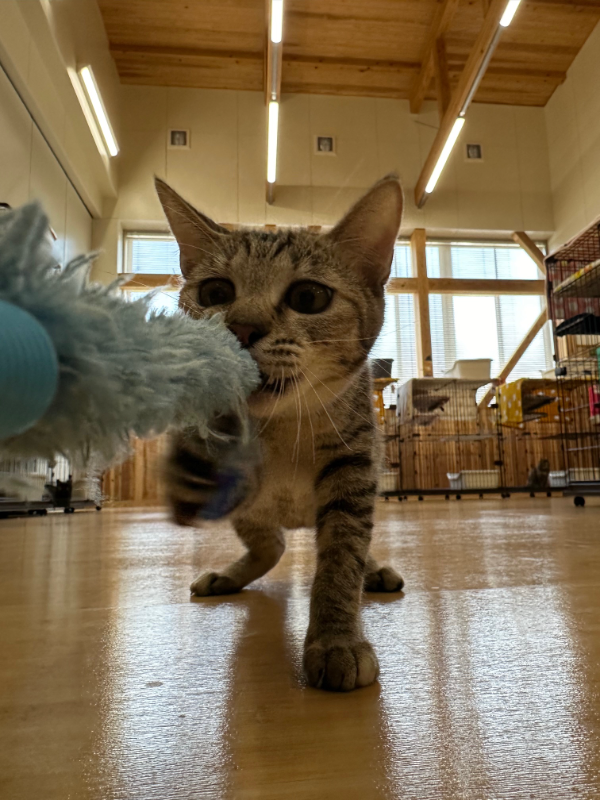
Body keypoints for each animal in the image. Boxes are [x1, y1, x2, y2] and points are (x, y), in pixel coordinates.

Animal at [155, 175, 404, 692]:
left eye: (308, 297)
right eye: (215, 292)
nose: (242, 327)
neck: (285, 427)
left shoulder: (355, 467)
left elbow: (341, 558)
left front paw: (335, 639)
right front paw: (196, 460)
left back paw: (373, 569)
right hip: (255, 517)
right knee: (271, 544)